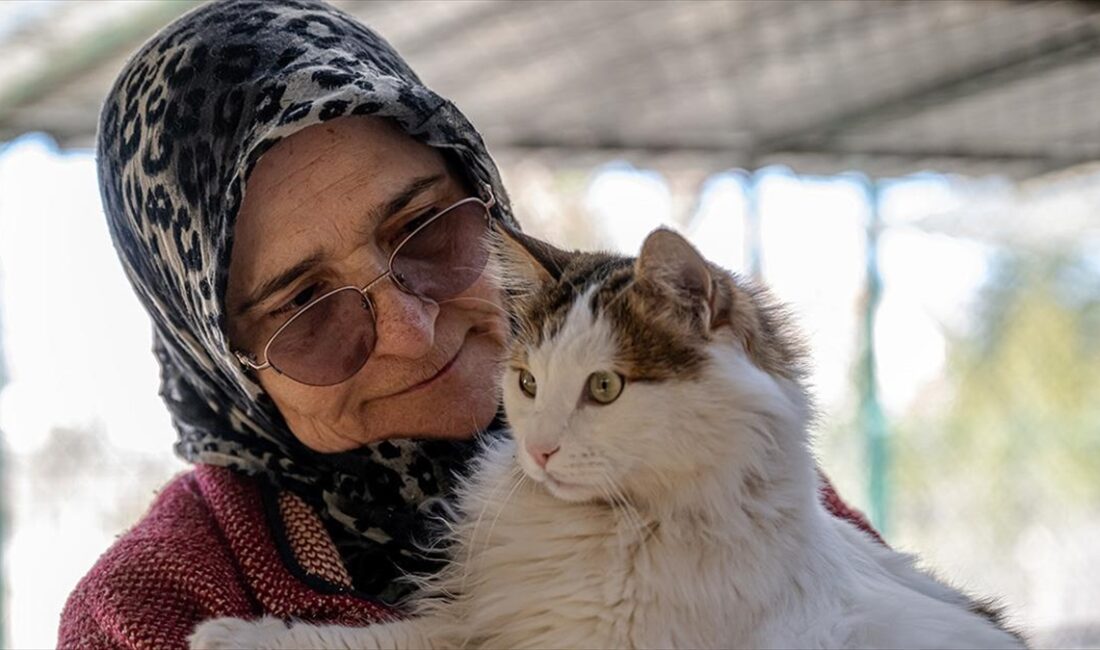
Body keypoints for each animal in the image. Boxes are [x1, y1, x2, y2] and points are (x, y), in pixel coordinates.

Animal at [191, 226, 1020, 646]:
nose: (539, 451)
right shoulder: (498, 622)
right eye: (527, 383)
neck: (622, 529)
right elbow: (383, 639)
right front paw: (233, 635)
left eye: (604, 388)